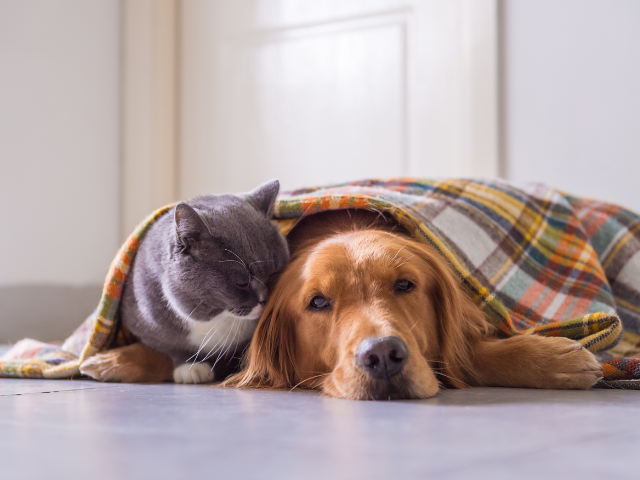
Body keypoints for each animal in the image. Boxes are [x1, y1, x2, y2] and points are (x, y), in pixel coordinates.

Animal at [80, 181, 290, 386]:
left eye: (273, 274)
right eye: (242, 283)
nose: (264, 299)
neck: (218, 317)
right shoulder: (146, 321)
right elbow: (171, 346)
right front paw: (191, 368)